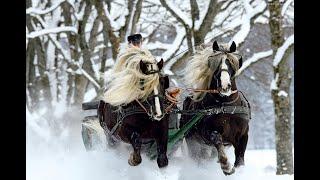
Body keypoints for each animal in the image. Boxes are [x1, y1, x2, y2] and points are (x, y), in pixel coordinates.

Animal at [180, 41, 250, 175]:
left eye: (231, 63)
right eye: (215, 64)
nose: (225, 86)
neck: (227, 106)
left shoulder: (243, 136)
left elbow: (240, 160)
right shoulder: (208, 133)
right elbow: (217, 140)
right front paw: (226, 166)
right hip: (193, 142)